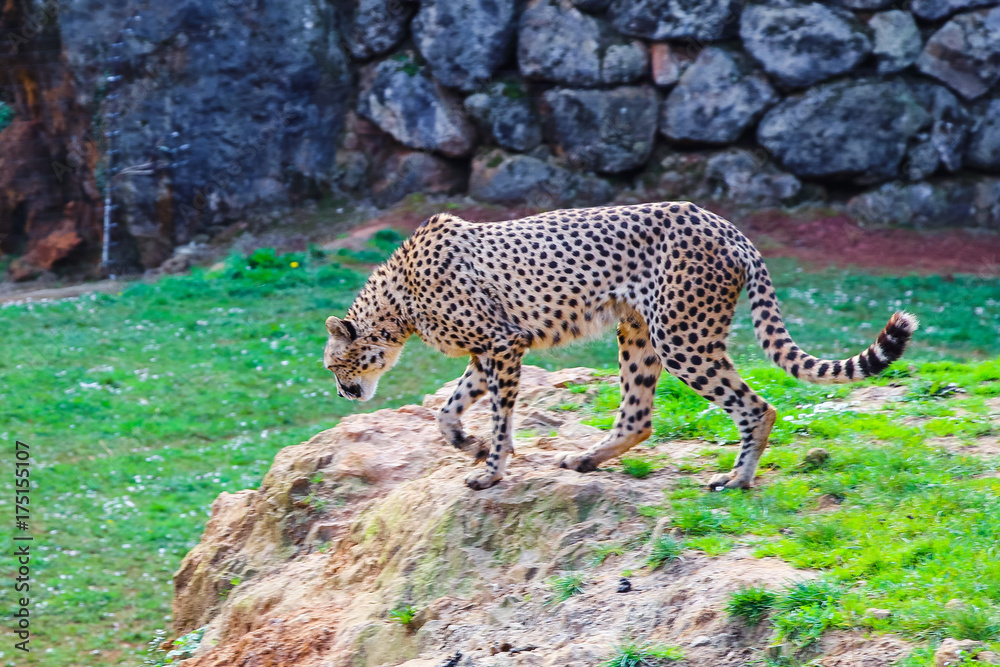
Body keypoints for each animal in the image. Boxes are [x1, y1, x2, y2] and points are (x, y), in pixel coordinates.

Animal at [323, 202, 917, 491]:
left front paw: (491, 468)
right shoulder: (491, 349)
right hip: (638, 332)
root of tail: (725, 224)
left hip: (681, 336)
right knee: (639, 416)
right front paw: (471, 446)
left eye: (333, 364)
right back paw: (586, 458)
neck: (398, 305)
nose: (345, 393)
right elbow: (447, 412)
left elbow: (499, 414)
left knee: (757, 406)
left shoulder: (503, 342)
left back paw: (737, 478)